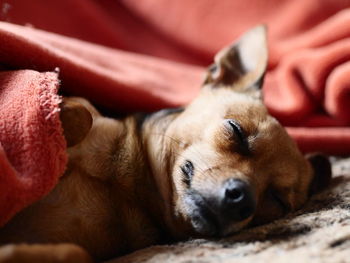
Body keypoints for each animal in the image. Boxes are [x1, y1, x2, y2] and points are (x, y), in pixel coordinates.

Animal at [0, 26, 332, 263]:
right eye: (236, 131)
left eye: (277, 201)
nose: (243, 200)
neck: (127, 188)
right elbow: (81, 111)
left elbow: (76, 253)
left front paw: (12, 252)